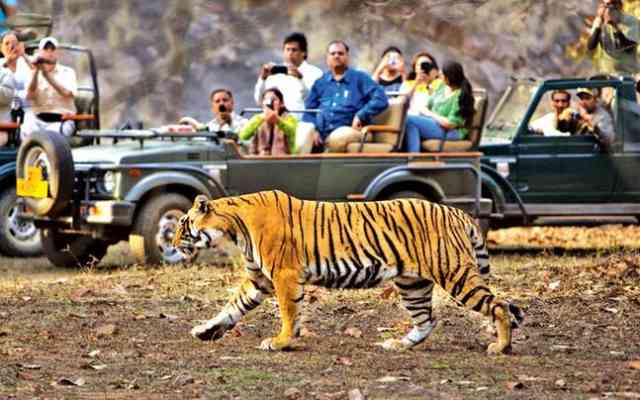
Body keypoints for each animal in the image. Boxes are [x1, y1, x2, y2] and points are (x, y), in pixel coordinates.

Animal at [172, 191, 524, 356]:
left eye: (184, 225)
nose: (173, 245)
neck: (234, 225)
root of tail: (457, 211)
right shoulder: (259, 279)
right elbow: (232, 306)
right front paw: (205, 330)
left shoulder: (283, 274)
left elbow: (288, 311)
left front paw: (282, 341)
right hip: (413, 283)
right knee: (427, 320)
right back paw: (398, 344)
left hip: (454, 273)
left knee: (498, 305)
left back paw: (501, 347)